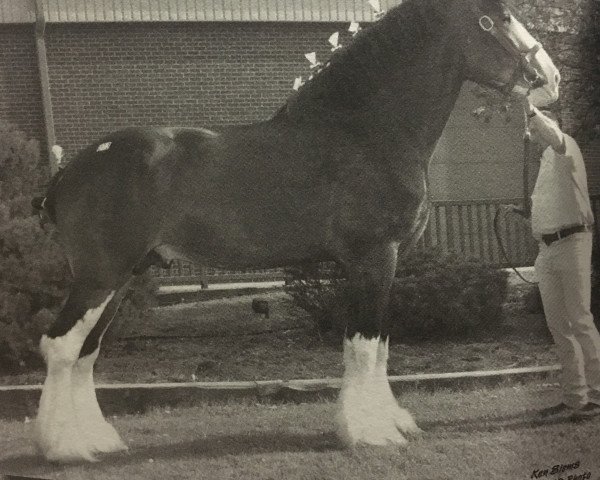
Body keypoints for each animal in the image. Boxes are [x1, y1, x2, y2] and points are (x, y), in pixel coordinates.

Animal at [31, 0, 556, 464]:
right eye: (498, 17)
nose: (548, 78)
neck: (367, 132)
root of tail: (69, 169)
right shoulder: (373, 258)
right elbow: (363, 346)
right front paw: (369, 433)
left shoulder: (388, 263)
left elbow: (381, 347)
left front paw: (390, 422)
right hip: (100, 276)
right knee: (60, 347)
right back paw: (66, 448)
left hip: (123, 278)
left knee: (86, 353)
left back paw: (99, 440)